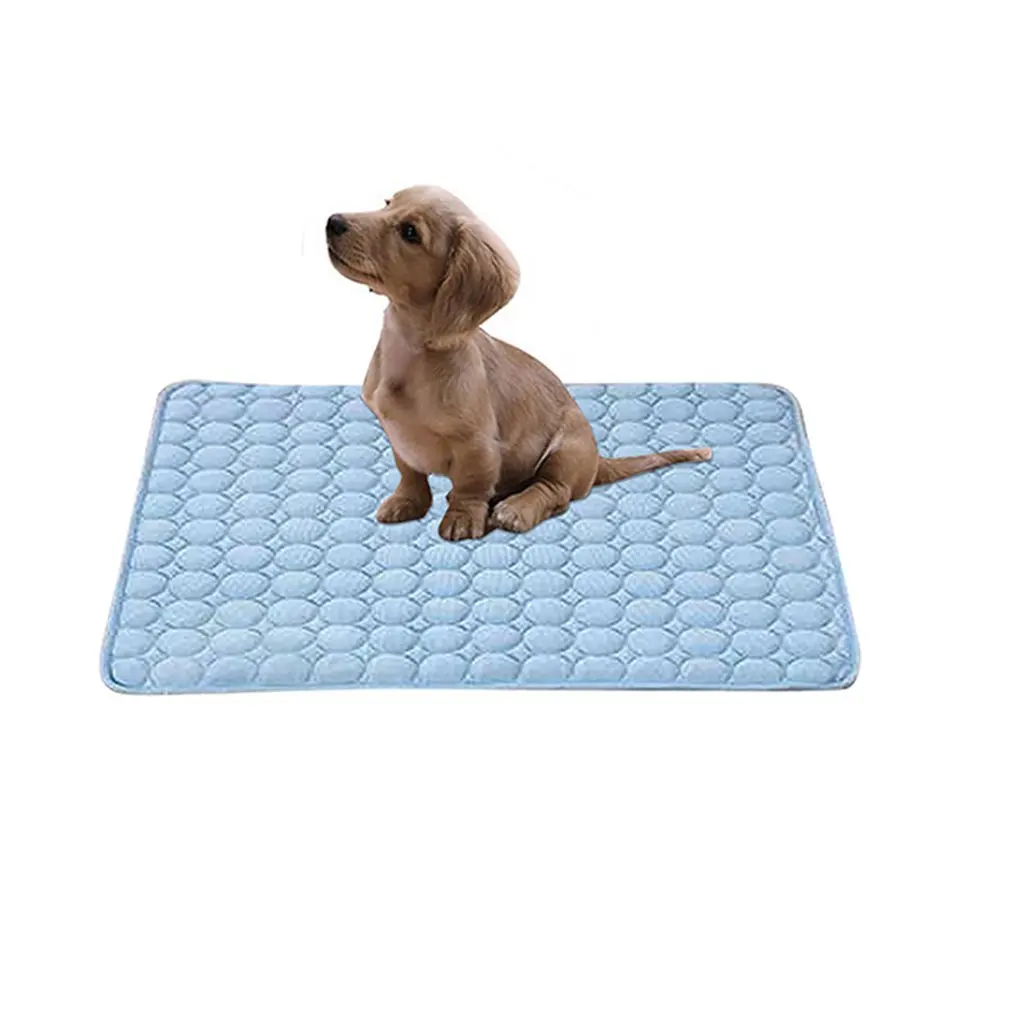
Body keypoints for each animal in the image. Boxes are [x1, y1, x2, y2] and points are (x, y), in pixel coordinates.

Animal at [326, 186, 711, 540]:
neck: (409, 348)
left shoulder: (477, 445)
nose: (333, 222)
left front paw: (463, 517)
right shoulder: (399, 438)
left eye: (410, 232)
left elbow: (471, 486)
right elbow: (410, 473)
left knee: (554, 492)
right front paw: (407, 502)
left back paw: (516, 508)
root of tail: (596, 462)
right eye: (387, 203)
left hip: (566, 451)